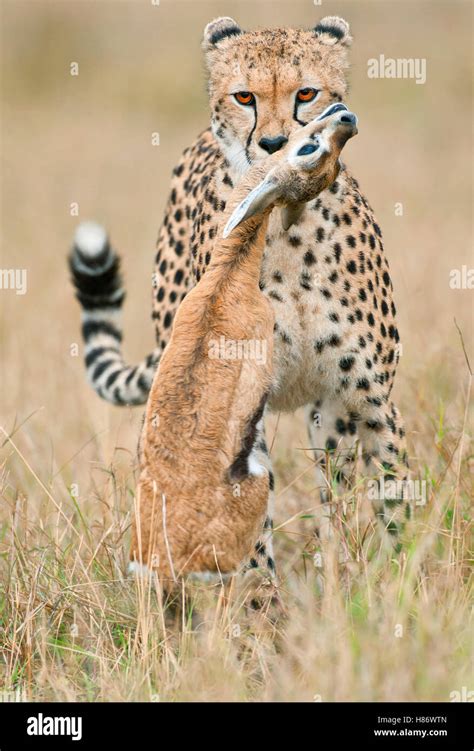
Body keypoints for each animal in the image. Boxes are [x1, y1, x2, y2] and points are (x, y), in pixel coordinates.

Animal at [68, 14, 410, 580]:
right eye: (244, 96)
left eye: (306, 93)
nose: (273, 143)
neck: (290, 224)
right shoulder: (234, 406)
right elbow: (250, 528)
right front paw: (260, 600)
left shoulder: (366, 394)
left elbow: (397, 496)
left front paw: (401, 582)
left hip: (327, 415)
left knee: (334, 488)